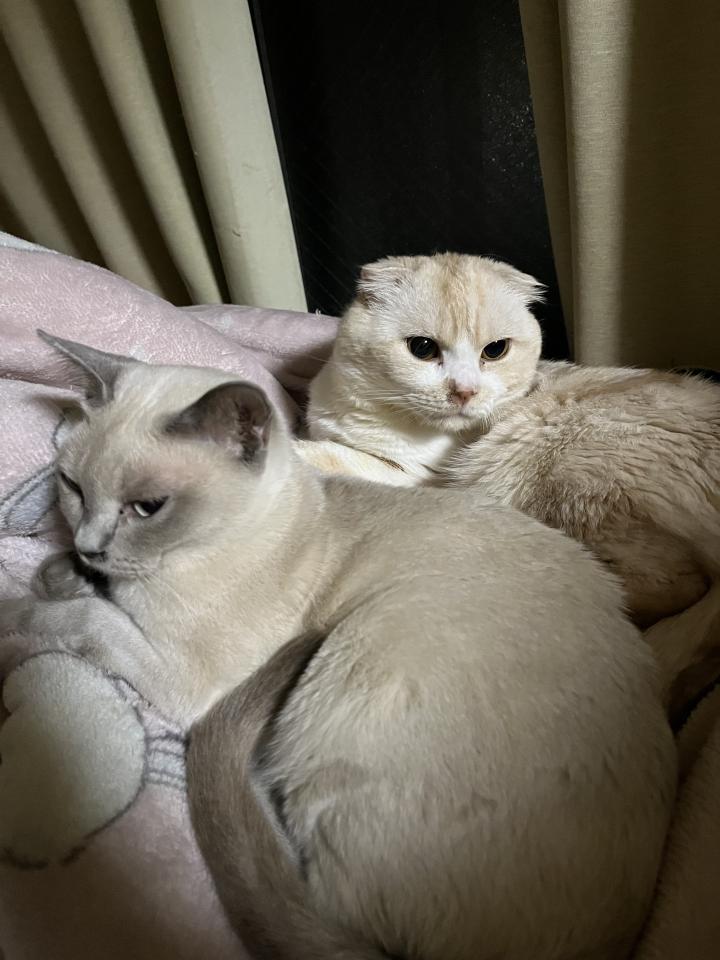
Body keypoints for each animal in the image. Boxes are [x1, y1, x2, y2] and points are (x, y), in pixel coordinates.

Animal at [0, 333, 675, 960]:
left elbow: (89, 620)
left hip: (355, 647)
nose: (89, 544)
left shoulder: (191, 679)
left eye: (148, 508)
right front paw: (60, 574)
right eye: (71, 488)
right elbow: (86, 595)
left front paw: (21, 611)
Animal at [298, 253, 720, 628]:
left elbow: (335, 457)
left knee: (674, 585)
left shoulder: (412, 474)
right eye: (422, 348)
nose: (464, 391)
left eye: (495, 350)